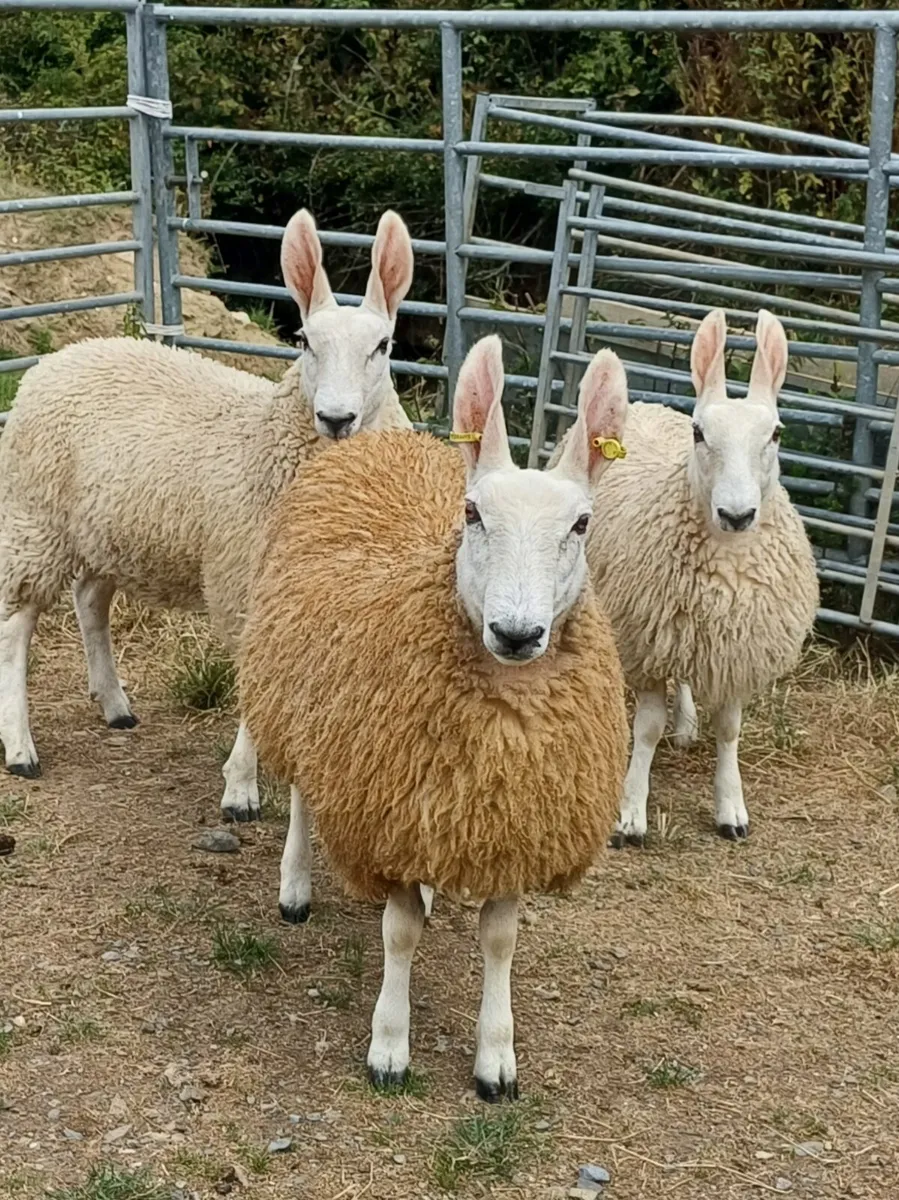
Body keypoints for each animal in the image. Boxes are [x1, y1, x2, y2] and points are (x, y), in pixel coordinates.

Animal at [0, 209, 414, 853]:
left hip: (105, 528)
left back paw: (114, 704)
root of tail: (68, 352)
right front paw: (241, 788)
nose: (336, 418)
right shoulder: (248, 584)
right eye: (304, 342)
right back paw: (21, 746)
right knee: (16, 628)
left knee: (90, 601)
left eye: (383, 345)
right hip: (36, 517)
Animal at [239, 335, 629, 1098]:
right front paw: (389, 1046)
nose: (516, 633)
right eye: (473, 513)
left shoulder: (513, 830)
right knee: (300, 793)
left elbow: (500, 941)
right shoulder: (387, 817)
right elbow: (401, 934)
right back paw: (295, 886)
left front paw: (496, 1058)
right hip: (304, 697)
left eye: (581, 523)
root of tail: (383, 441)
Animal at [563, 309, 818, 845]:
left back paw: (686, 724)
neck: (726, 561)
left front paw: (731, 808)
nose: (738, 514)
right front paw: (631, 814)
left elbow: (730, 729)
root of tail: (648, 403)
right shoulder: (646, 640)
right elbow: (646, 728)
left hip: (684, 630)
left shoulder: (735, 648)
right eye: (700, 433)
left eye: (776, 434)